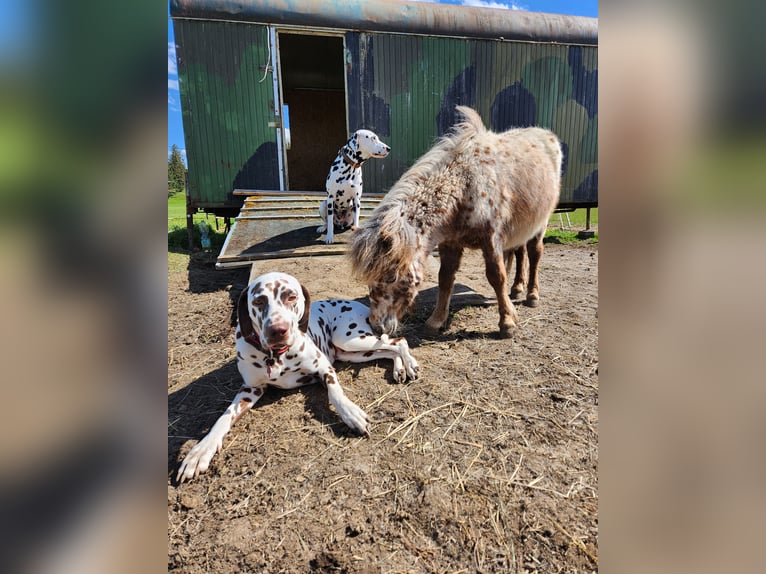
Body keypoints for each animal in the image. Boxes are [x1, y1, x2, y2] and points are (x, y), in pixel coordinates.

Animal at [176, 272, 420, 484]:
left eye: (291, 297)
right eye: (259, 301)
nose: (278, 329)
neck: (275, 356)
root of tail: (360, 305)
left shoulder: (325, 368)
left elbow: (335, 392)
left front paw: (351, 414)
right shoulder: (249, 390)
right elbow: (223, 419)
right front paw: (200, 451)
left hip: (350, 338)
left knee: (398, 341)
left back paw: (410, 364)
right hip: (352, 351)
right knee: (390, 349)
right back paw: (399, 369)